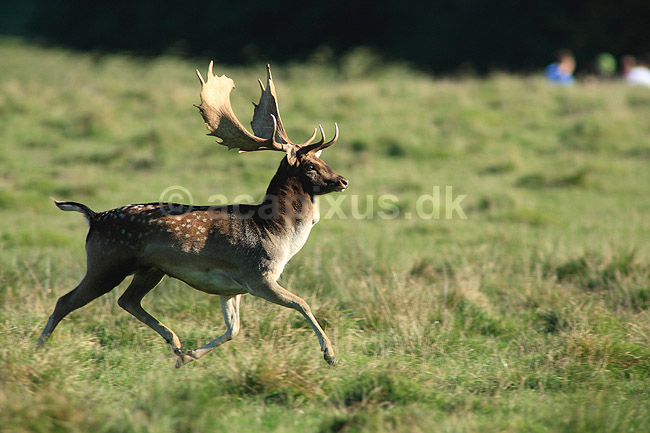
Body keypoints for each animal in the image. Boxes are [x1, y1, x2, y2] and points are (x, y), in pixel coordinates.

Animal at [36, 62, 349, 367]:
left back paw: (175, 343)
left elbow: (233, 329)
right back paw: (38, 348)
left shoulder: (231, 287)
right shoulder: (258, 275)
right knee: (66, 301)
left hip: (150, 269)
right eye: (310, 165)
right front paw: (330, 354)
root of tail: (94, 217)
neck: (276, 234)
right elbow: (302, 303)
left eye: (321, 160)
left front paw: (189, 356)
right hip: (106, 263)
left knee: (127, 300)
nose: (343, 181)